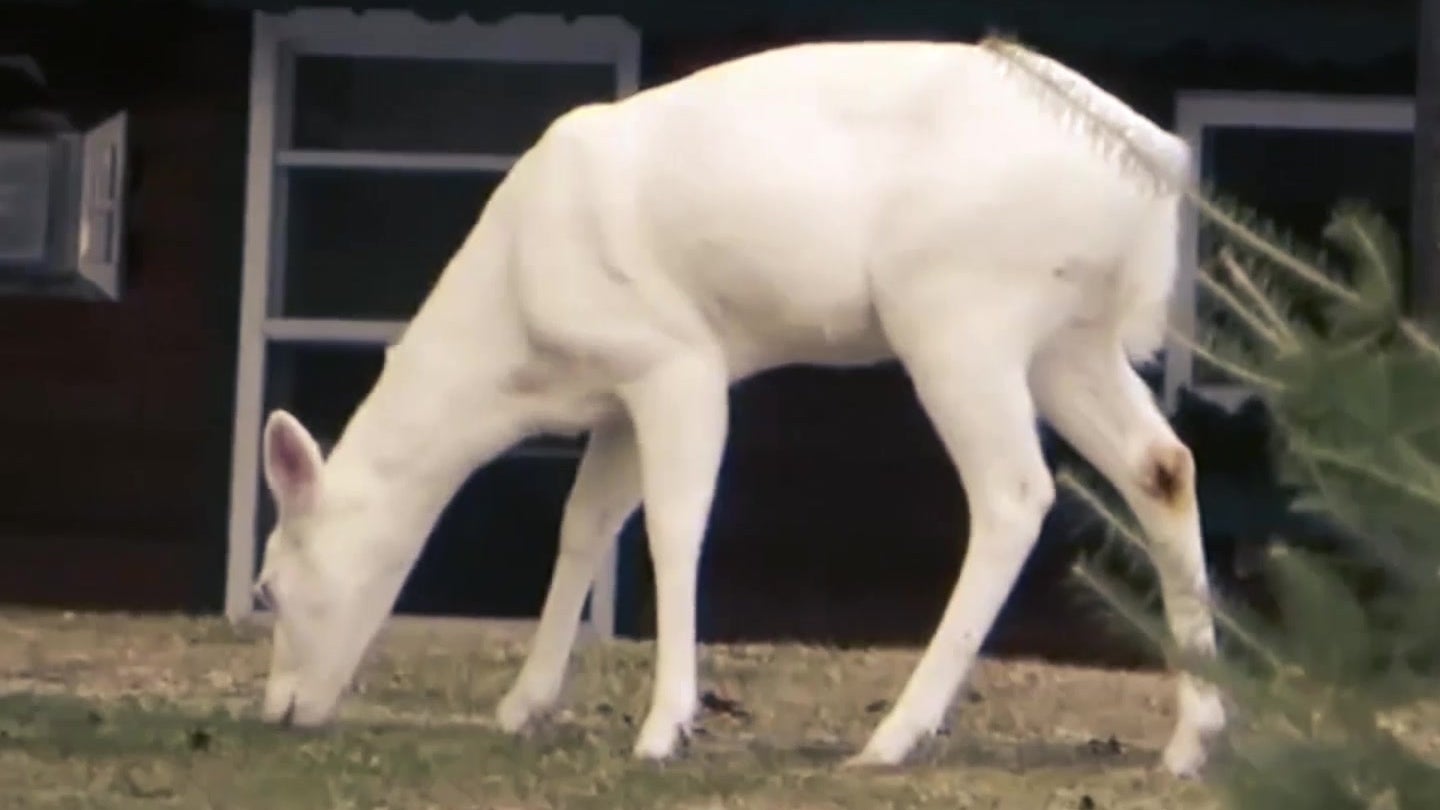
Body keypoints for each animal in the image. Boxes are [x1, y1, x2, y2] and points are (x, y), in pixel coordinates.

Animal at [249, 37, 1228, 777]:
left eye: (268, 588)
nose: (279, 710)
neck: (516, 351)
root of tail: (1159, 162)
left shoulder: (676, 355)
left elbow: (675, 524)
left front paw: (664, 727)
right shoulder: (616, 394)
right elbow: (585, 522)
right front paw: (523, 704)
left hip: (958, 308)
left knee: (1015, 493)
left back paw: (892, 737)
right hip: (1068, 337)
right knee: (1162, 464)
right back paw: (1192, 740)